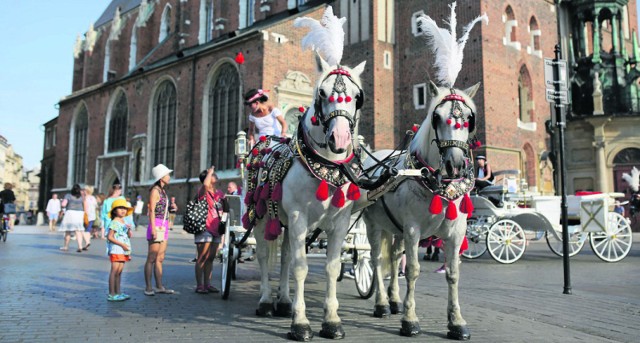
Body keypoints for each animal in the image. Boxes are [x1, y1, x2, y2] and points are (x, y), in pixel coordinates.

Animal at [241, 6, 364, 342]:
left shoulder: (339, 222)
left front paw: (332, 321)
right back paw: (266, 301)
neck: (326, 166)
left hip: (283, 220)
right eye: (321, 92)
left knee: (283, 254)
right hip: (262, 216)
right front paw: (301, 323)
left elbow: (331, 267)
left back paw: (283, 301)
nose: (340, 139)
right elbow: (301, 267)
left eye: (357, 96)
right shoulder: (298, 217)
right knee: (265, 255)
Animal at [362, 3, 488, 342]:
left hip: (394, 228)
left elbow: (453, 273)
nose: (455, 164)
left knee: (393, 257)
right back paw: (382, 304)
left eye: (469, 120)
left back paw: (393, 300)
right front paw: (410, 319)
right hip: (375, 225)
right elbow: (413, 270)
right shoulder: (413, 229)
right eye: (437, 117)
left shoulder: (455, 232)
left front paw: (456, 322)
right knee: (377, 260)